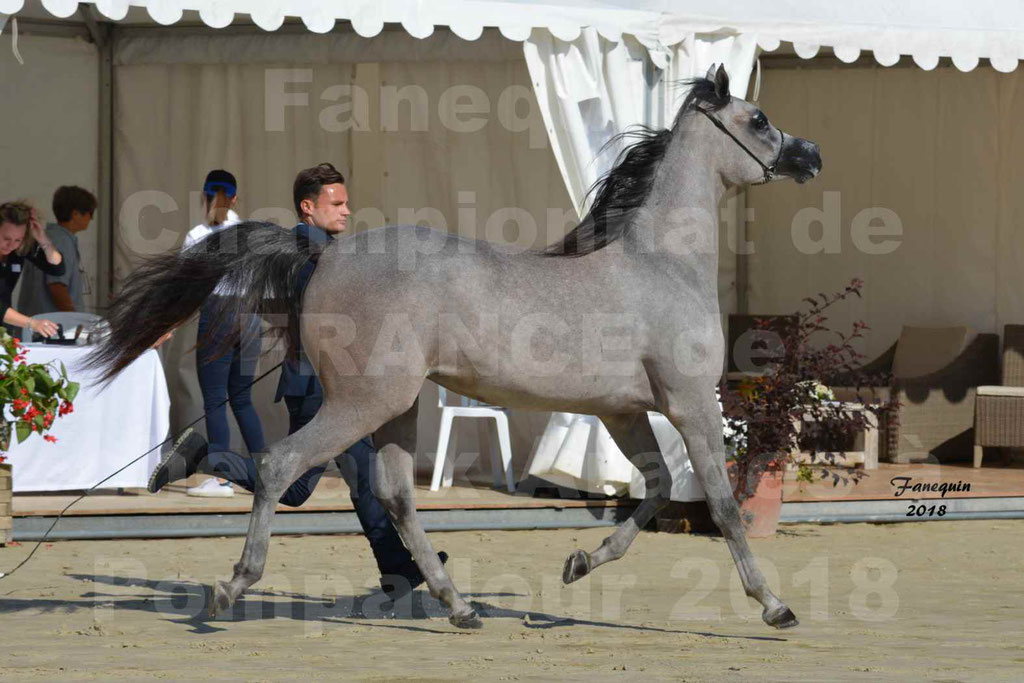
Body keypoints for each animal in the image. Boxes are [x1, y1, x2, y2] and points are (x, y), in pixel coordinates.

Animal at [88, 66, 823, 634]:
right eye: (759, 119)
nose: (811, 156)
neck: (659, 264)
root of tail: (323, 254)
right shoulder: (693, 403)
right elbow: (721, 504)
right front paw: (775, 606)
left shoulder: (622, 409)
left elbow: (658, 488)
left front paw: (577, 564)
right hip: (365, 400)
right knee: (279, 465)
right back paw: (231, 584)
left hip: (395, 408)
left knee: (392, 497)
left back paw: (459, 605)